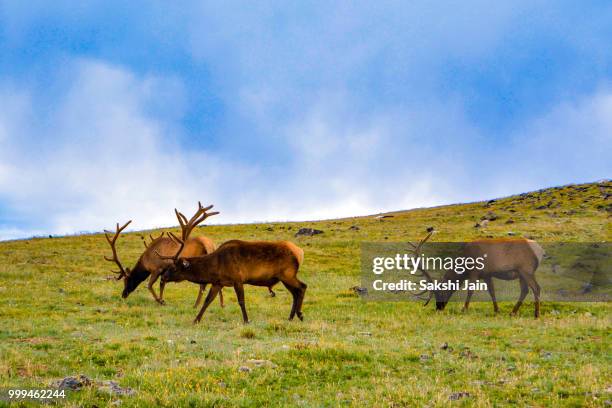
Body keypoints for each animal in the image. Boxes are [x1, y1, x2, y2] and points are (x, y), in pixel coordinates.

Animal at [158, 237, 306, 324]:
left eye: (173, 267)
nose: (163, 277)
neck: (215, 267)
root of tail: (300, 252)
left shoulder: (237, 279)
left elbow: (241, 301)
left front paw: (246, 320)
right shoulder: (218, 282)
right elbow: (207, 301)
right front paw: (196, 320)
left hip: (288, 274)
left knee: (303, 286)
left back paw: (300, 314)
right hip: (285, 278)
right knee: (295, 293)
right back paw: (291, 317)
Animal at [408, 234, 544, 318]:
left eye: (441, 292)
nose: (438, 308)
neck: (464, 263)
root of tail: (540, 250)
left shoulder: (474, 272)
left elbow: (470, 290)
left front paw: (464, 309)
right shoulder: (487, 275)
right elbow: (492, 291)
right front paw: (496, 310)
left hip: (526, 270)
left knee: (536, 288)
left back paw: (536, 314)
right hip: (521, 273)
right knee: (525, 290)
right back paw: (512, 312)